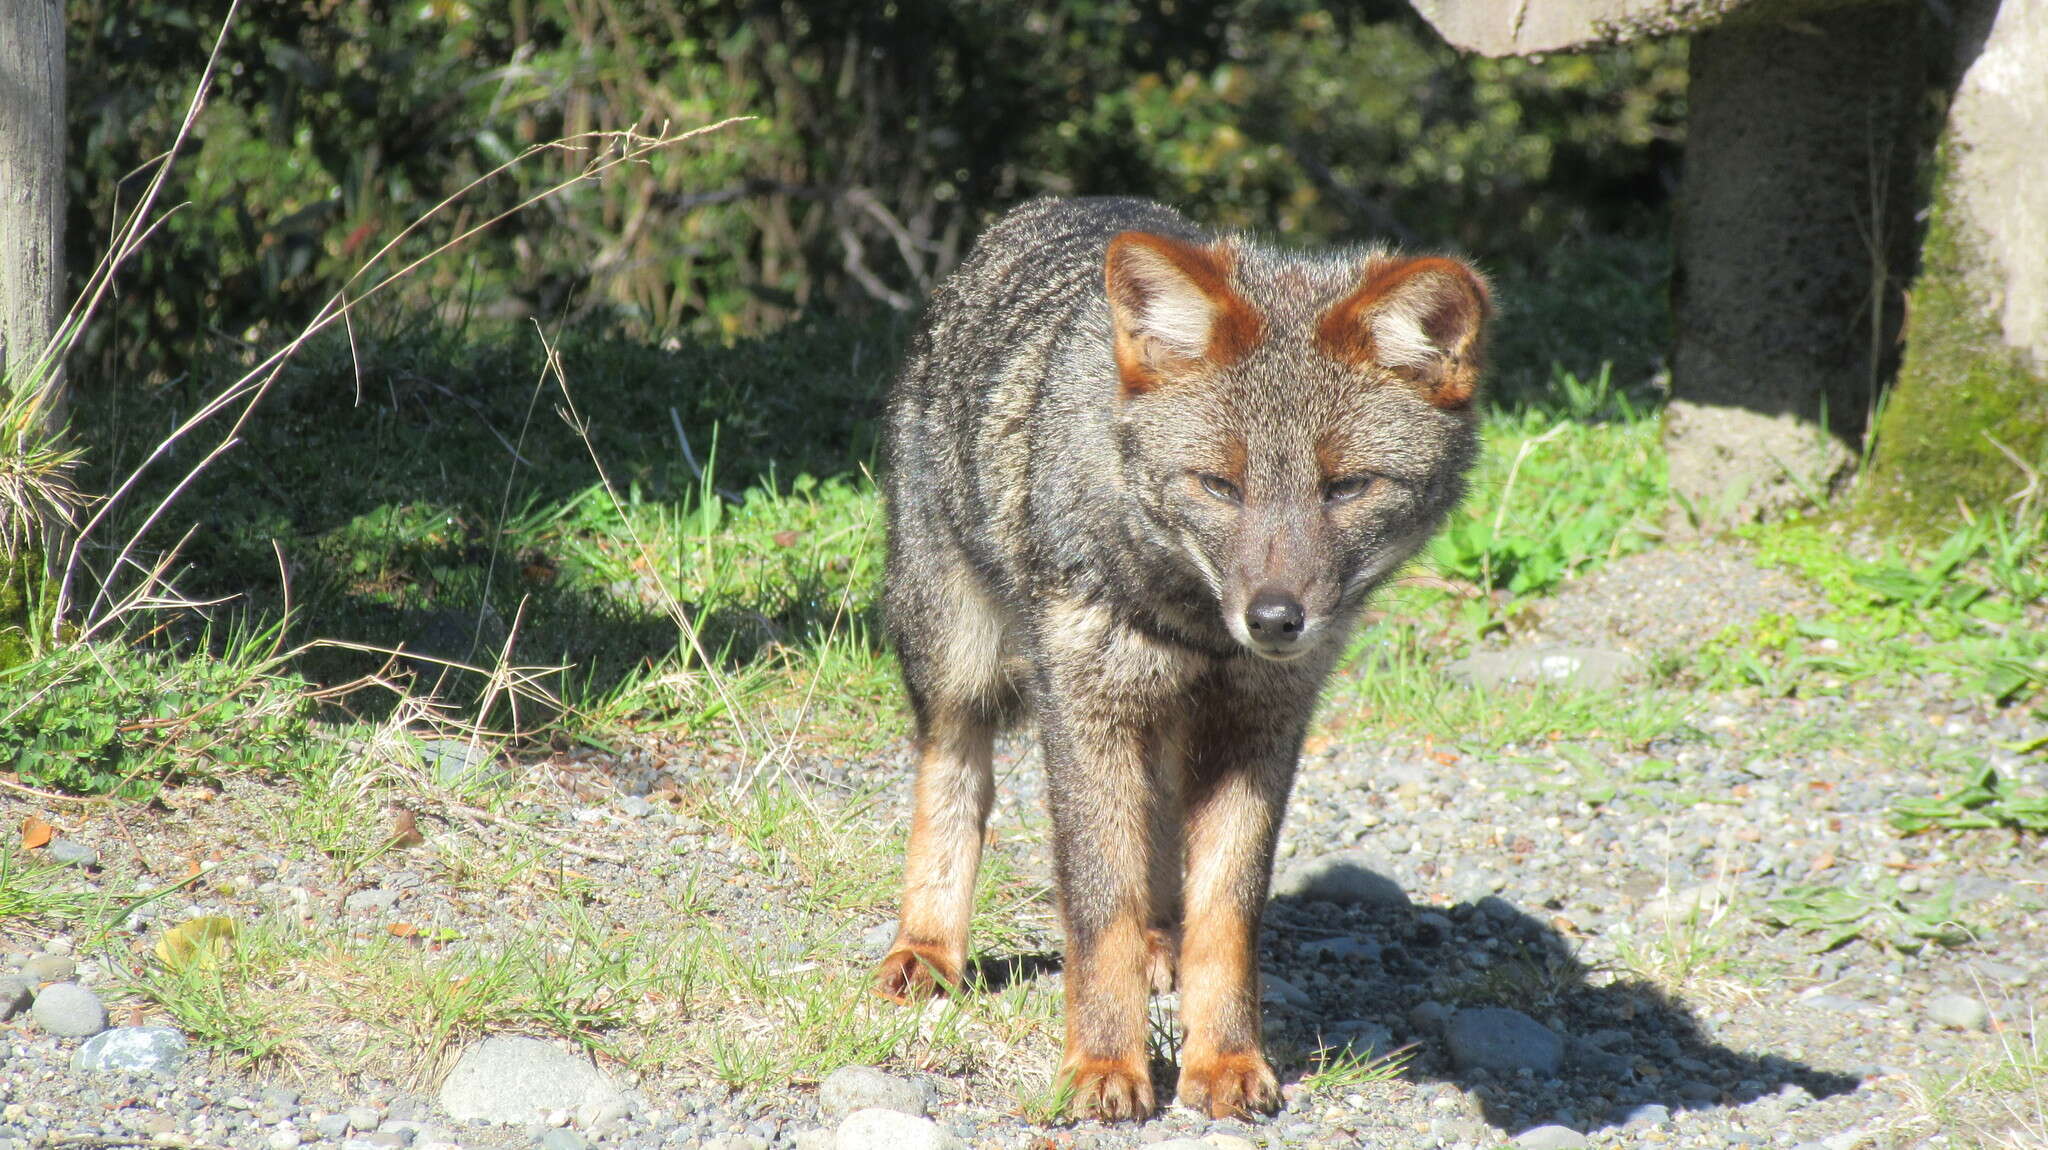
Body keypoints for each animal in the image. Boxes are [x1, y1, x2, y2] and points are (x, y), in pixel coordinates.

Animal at [872, 199, 1482, 1121]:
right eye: (1219, 486)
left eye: (1346, 488)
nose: (1276, 619)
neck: (1198, 630)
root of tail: (1053, 207)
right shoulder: (1084, 714)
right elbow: (1099, 910)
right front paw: (1101, 1065)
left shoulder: (1262, 729)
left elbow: (1227, 914)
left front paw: (1225, 1058)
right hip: (957, 665)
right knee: (954, 781)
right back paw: (929, 947)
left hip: (1161, 727)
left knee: (1159, 847)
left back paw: (1163, 941)